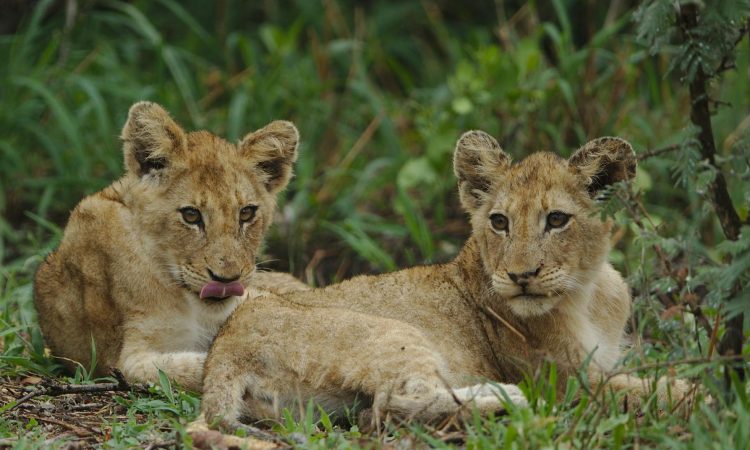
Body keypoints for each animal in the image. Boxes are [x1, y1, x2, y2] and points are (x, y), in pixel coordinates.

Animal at [199, 130, 691, 431]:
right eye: (499, 222)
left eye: (556, 219)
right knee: (392, 406)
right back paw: (507, 397)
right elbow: (659, 390)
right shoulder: (567, 380)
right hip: (392, 333)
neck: (586, 294)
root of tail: (223, 350)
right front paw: (703, 394)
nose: (521, 276)